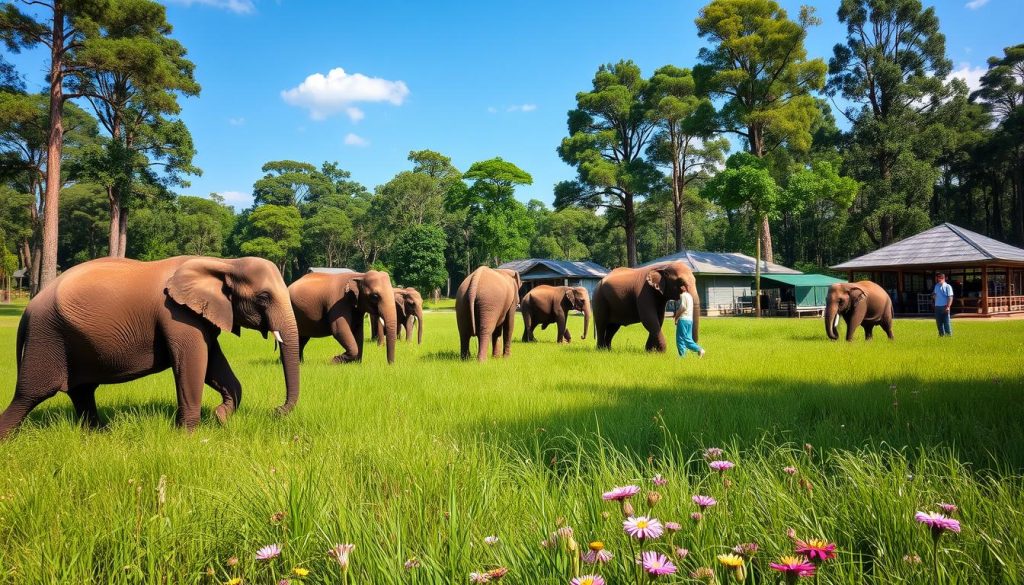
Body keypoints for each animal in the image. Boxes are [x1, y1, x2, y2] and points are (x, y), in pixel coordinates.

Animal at [0, 256, 300, 439]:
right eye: (263, 297)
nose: (276, 411)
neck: (224, 263)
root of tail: (29, 308)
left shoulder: (200, 316)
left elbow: (215, 367)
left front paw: (221, 419)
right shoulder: (177, 315)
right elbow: (193, 365)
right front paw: (188, 437)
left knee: (81, 391)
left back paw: (100, 434)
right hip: (47, 336)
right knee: (30, 394)